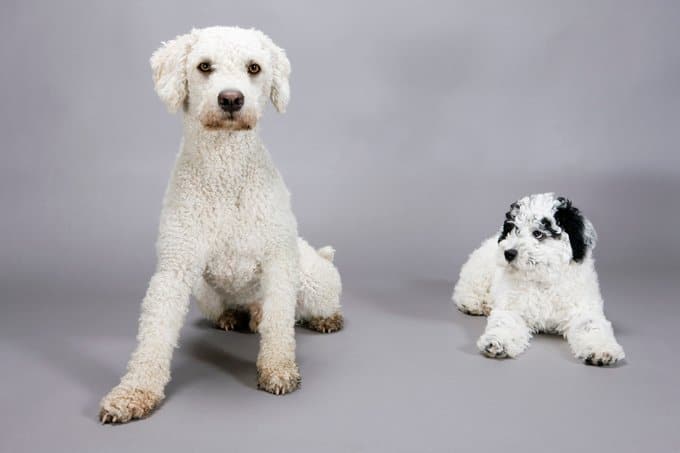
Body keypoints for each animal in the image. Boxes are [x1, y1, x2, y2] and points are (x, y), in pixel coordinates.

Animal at [99, 26, 346, 424]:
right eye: (204, 66)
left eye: (254, 67)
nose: (231, 99)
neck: (224, 172)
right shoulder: (174, 270)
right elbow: (154, 337)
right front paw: (134, 393)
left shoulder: (279, 263)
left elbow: (280, 325)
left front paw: (278, 370)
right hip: (203, 291)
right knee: (240, 310)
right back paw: (238, 316)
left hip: (310, 277)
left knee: (307, 306)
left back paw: (323, 318)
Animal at [454, 192, 624, 366]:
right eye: (515, 229)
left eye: (538, 233)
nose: (508, 253)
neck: (542, 281)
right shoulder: (512, 307)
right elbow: (505, 321)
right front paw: (496, 342)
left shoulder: (583, 308)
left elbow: (590, 325)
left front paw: (601, 350)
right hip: (480, 270)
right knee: (467, 287)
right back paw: (474, 304)